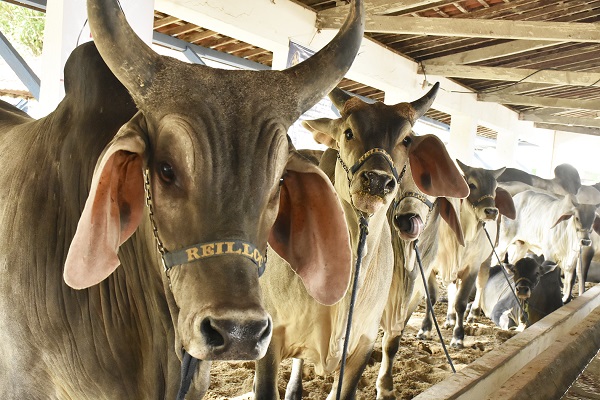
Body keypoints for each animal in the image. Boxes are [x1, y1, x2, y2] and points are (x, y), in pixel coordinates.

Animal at [418, 161, 516, 348]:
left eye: (495, 188)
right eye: (471, 185)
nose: (492, 212)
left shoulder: (472, 268)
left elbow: (461, 303)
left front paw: (458, 336)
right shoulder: (432, 267)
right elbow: (431, 298)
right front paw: (424, 329)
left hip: (486, 259)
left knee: (481, 284)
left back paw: (473, 313)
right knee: (452, 288)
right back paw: (449, 318)